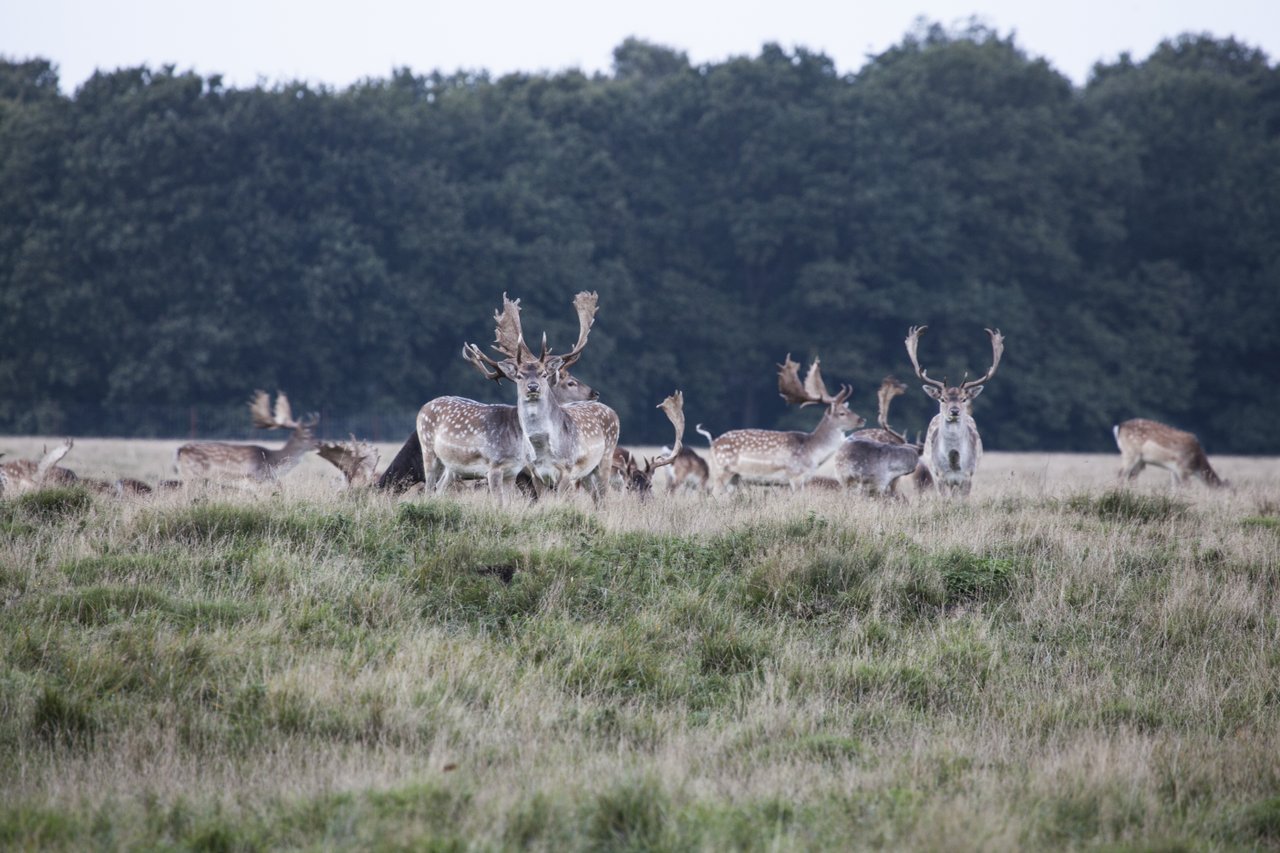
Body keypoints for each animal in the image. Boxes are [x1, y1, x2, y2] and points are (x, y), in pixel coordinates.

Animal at [175, 389, 320, 481]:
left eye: (313, 434)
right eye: (306, 436)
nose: (319, 443)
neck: (272, 463)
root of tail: (181, 450)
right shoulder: (254, 477)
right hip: (193, 473)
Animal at [701, 356, 870, 491]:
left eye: (849, 409)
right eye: (842, 413)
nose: (862, 419)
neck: (813, 454)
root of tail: (713, 443)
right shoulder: (795, 475)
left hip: (735, 477)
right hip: (722, 471)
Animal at [906, 325, 1003, 499]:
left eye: (964, 399)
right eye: (942, 398)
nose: (955, 411)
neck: (953, 462)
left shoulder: (968, 476)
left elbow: (961, 501)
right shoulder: (939, 476)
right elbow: (945, 500)